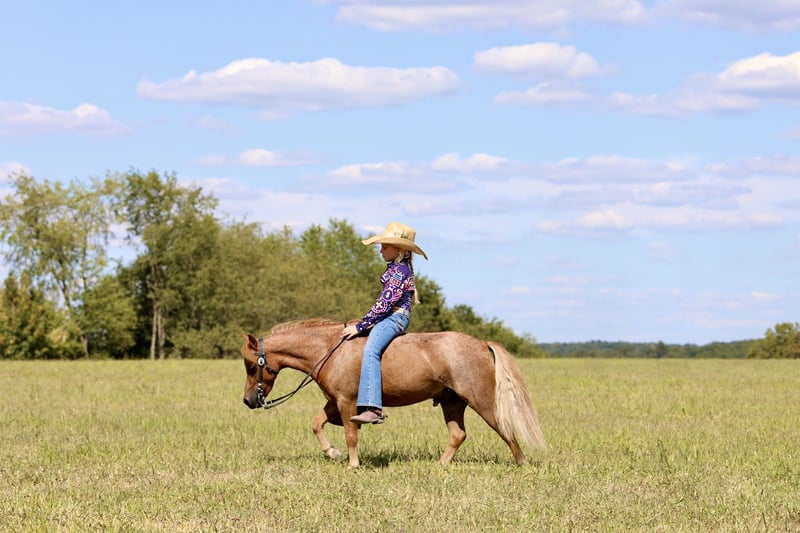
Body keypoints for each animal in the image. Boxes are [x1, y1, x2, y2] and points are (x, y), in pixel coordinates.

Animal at [240, 319, 546, 468]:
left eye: (251, 365)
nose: (248, 400)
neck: (330, 350)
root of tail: (482, 344)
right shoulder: (334, 402)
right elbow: (316, 424)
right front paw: (333, 453)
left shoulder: (346, 402)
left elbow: (351, 435)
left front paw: (352, 464)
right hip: (452, 402)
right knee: (458, 435)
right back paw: (440, 465)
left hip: (481, 401)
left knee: (506, 429)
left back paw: (521, 463)